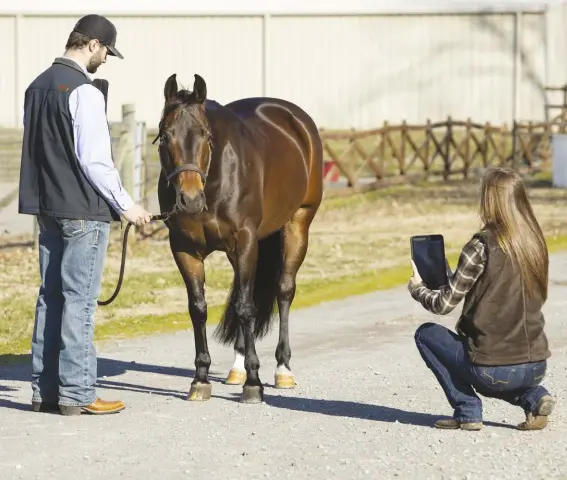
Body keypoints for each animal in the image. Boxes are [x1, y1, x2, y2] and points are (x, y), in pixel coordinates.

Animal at [155, 73, 324, 404]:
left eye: (206, 136)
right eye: (165, 137)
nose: (190, 199)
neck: (216, 180)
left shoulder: (245, 241)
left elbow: (247, 308)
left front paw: (254, 383)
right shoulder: (184, 249)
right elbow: (199, 308)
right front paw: (200, 379)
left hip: (298, 224)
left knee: (283, 291)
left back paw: (283, 369)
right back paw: (237, 367)